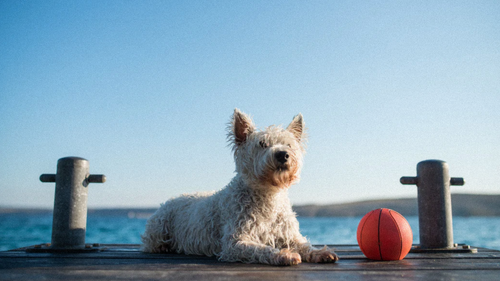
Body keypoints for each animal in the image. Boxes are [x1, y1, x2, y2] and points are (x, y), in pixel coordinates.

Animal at [140, 108, 340, 264]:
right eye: (262, 144)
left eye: (288, 144)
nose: (282, 154)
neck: (268, 194)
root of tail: (170, 200)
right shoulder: (235, 242)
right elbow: (261, 249)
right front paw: (283, 254)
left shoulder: (289, 234)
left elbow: (304, 244)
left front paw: (321, 252)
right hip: (159, 228)